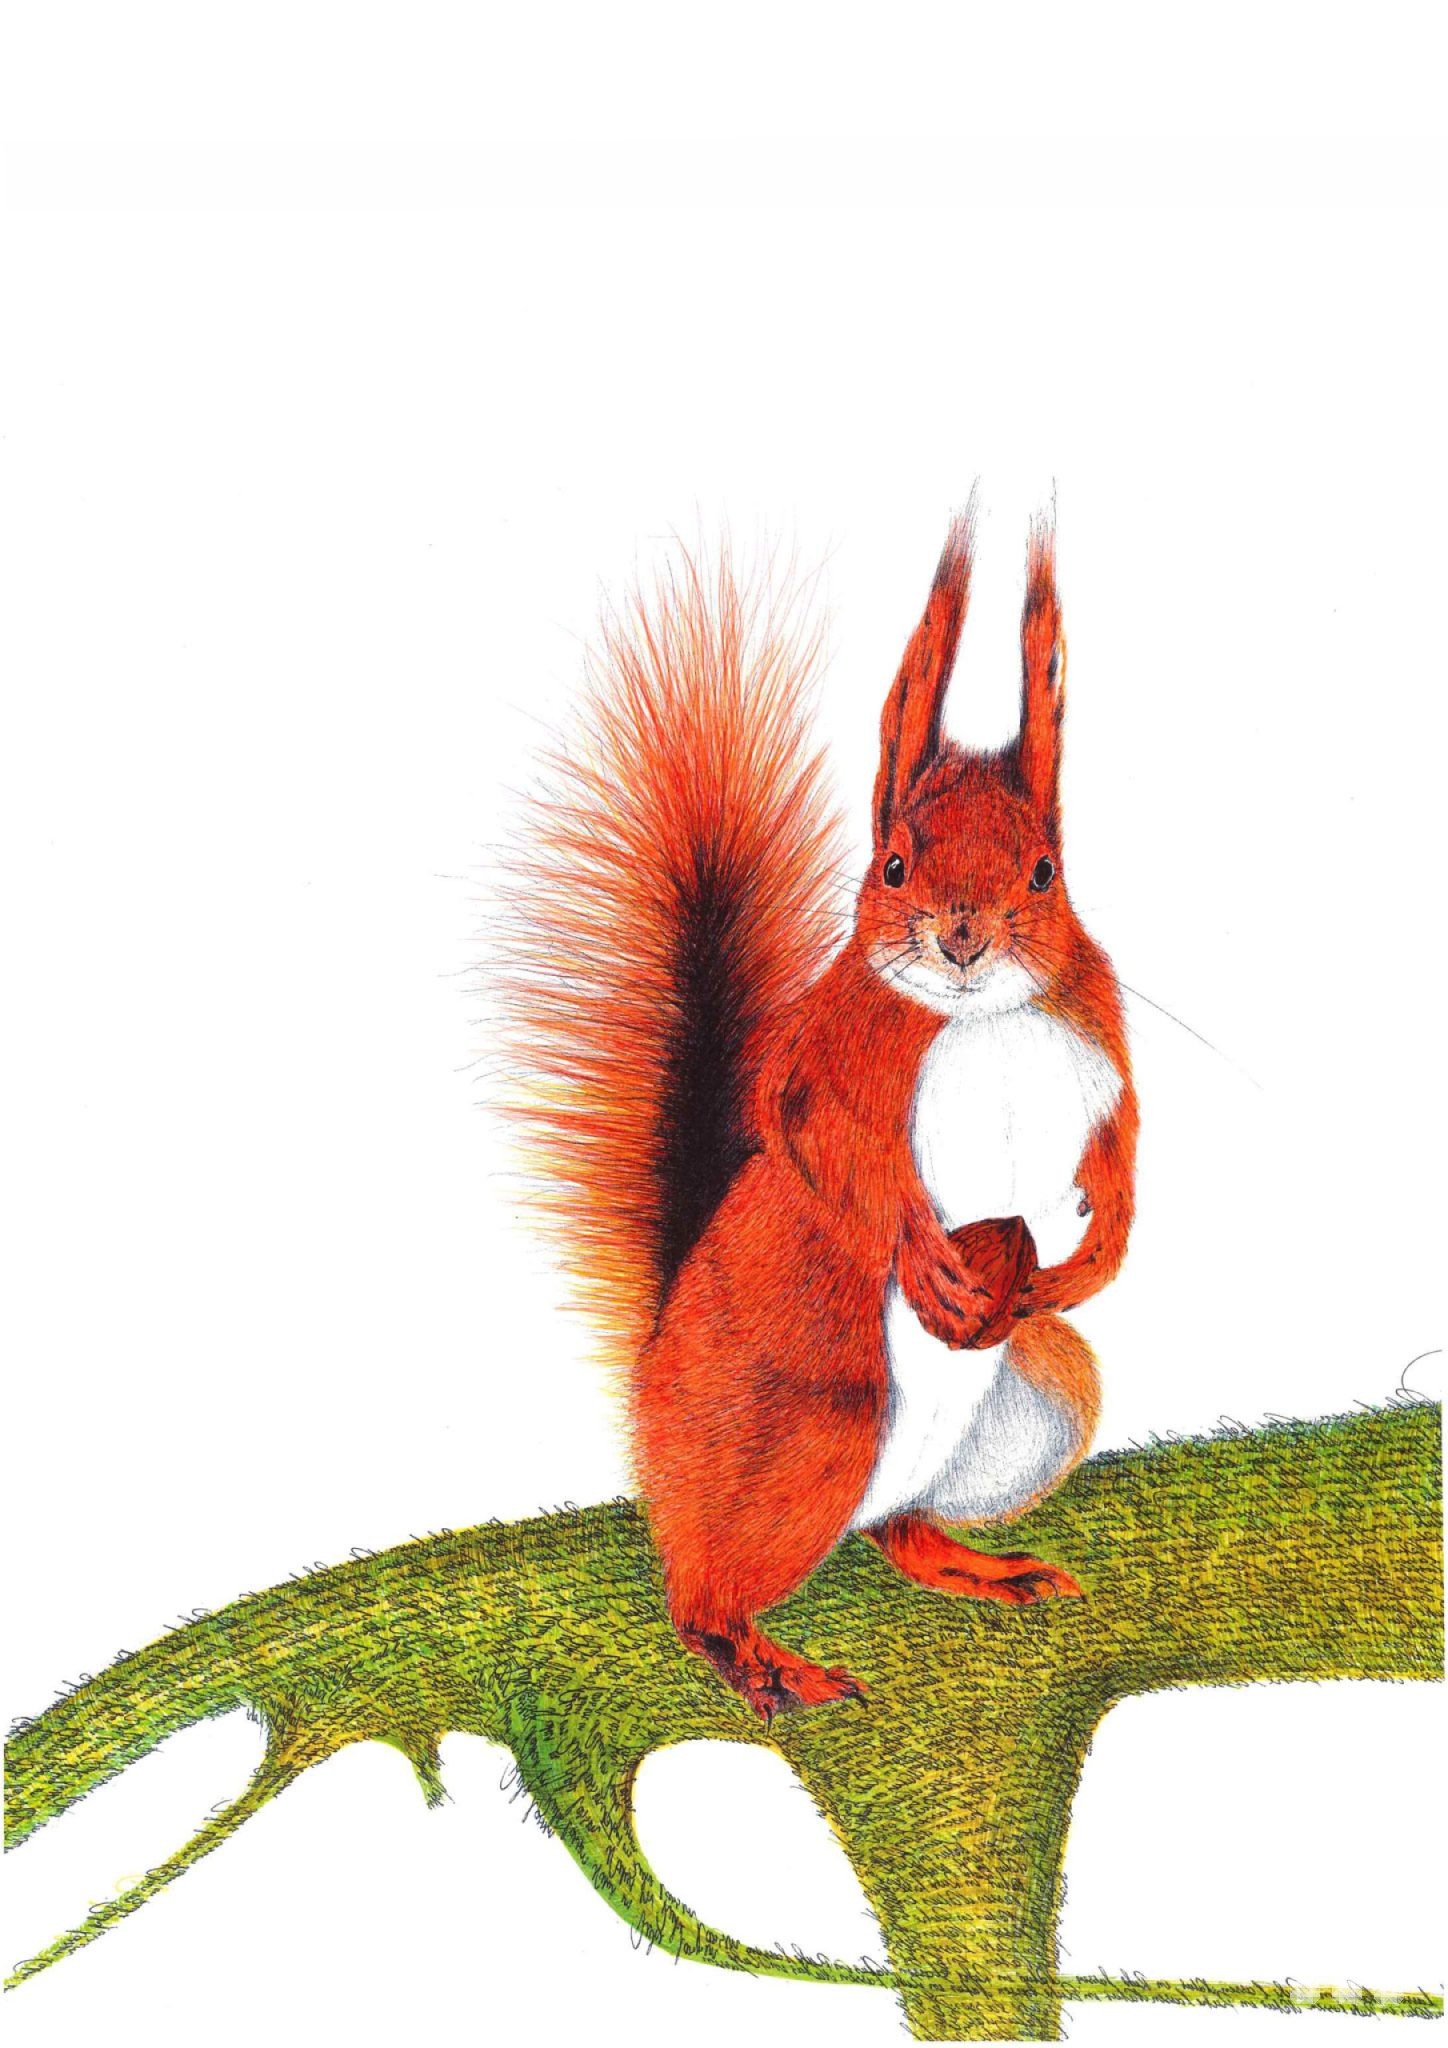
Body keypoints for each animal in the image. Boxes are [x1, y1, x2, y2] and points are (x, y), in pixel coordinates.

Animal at [499, 505, 1138, 1721]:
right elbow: (812, 1141)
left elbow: (1123, 1151)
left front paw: (1098, 1249)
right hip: (812, 1440)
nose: (961, 936)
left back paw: (983, 1566)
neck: (980, 1016)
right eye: (892, 864)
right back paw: (761, 1658)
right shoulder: (818, 1061)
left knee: (899, 1531)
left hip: (1040, 1400)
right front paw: (920, 1248)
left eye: (1044, 870)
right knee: (700, 1595)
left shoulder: (1101, 1044)